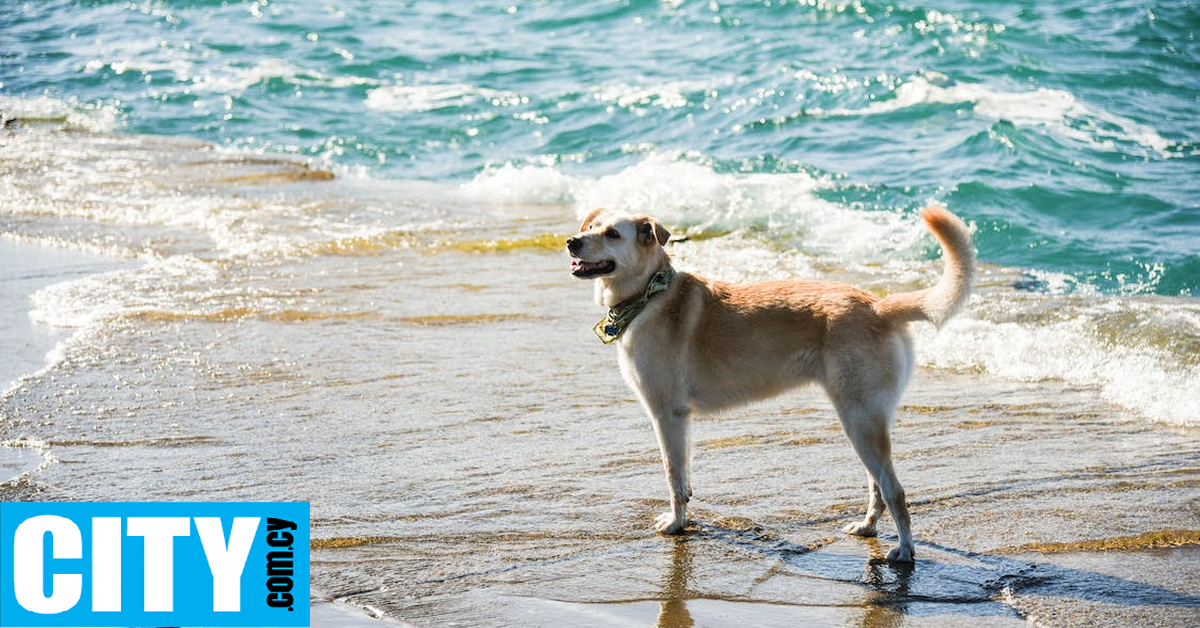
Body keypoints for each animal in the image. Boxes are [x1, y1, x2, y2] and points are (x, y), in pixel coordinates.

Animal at [564, 207, 974, 564]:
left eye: (612, 234)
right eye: (591, 226)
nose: (571, 241)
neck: (650, 294)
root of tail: (879, 306)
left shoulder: (667, 416)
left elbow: (673, 477)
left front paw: (678, 523)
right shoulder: (680, 421)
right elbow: (684, 477)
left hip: (860, 420)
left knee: (895, 491)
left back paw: (905, 549)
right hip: (865, 422)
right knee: (878, 486)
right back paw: (868, 526)